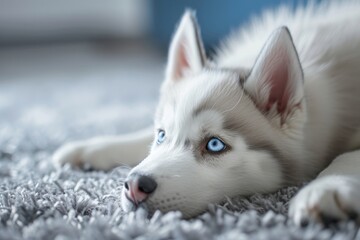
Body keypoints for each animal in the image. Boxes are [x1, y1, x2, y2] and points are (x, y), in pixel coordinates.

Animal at [52, 0, 360, 227]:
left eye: (214, 145)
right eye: (162, 135)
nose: (134, 185)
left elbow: (346, 156)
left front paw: (325, 188)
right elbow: (139, 140)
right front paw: (89, 148)